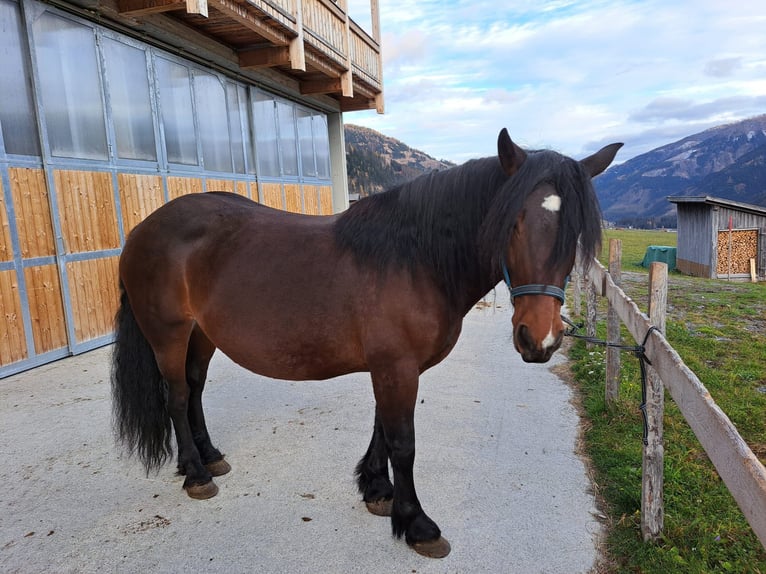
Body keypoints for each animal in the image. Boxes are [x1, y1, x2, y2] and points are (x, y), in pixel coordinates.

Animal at [111, 129, 620, 560]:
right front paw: (417, 524)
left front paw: (377, 490)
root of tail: (142, 230)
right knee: (177, 397)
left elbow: (382, 430)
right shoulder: (396, 367)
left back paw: (211, 458)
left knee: (195, 389)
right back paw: (195, 473)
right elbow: (403, 442)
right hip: (169, 333)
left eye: (575, 232)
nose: (540, 339)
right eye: (512, 224)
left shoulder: (392, 367)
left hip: (202, 335)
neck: (415, 259)